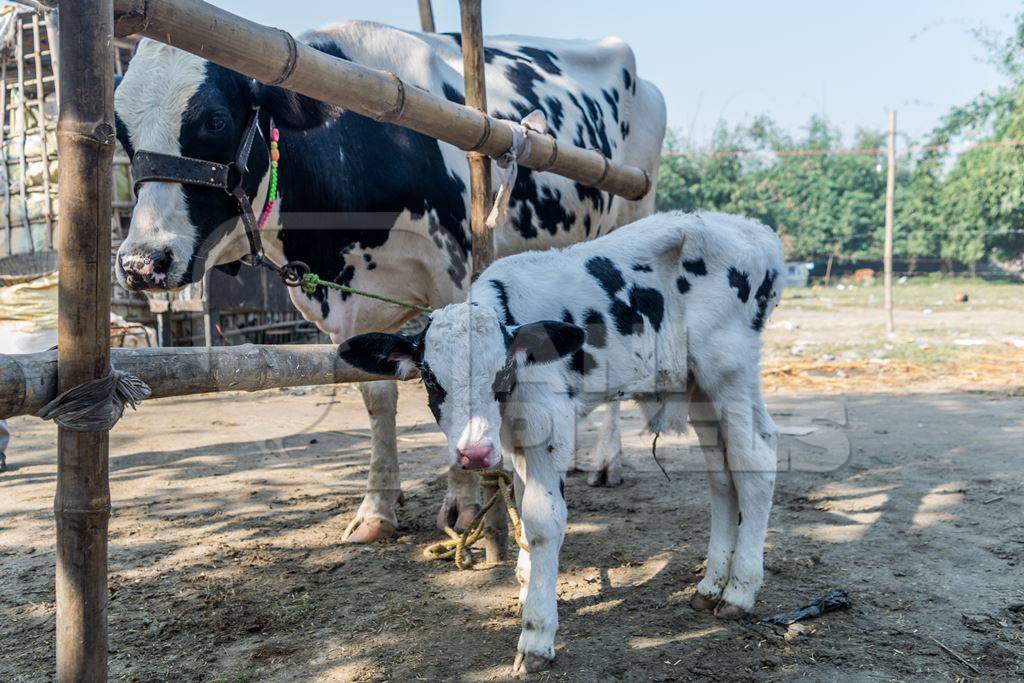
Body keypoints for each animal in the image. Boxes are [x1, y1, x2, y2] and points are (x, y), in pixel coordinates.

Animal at [112, 21, 663, 540]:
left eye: (214, 120)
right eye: (121, 134)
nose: (142, 262)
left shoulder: (453, 277)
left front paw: (465, 504)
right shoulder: (347, 312)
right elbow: (378, 398)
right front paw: (377, 510)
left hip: (628, 218)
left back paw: (607, 460)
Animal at [342, 211, 782, 671]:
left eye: (501, 372)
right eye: (429, 377)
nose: (474, 453)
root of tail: (755, 231)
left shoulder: (547, 430)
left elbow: (542, 520)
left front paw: (537, 632)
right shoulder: (515, 441)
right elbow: (521, 504)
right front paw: (526, 584)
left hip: (729, 370)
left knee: (756, 459)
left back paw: (740, 590)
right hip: (698, 386)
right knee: (722, 473)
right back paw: (711, 585)